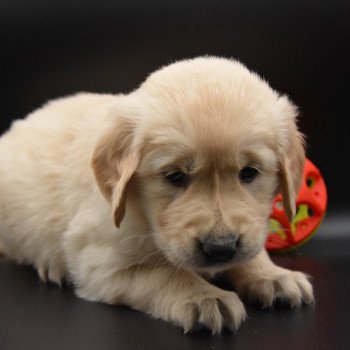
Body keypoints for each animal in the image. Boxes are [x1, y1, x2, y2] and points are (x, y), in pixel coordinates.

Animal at [0, 56, 314, 334]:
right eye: (174, 176)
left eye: (249, 173)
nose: (220, 248)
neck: (142, 212)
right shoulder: (99, 260)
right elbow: (165, 272)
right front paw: (205, 297)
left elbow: (252, 248)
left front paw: (273, 276)